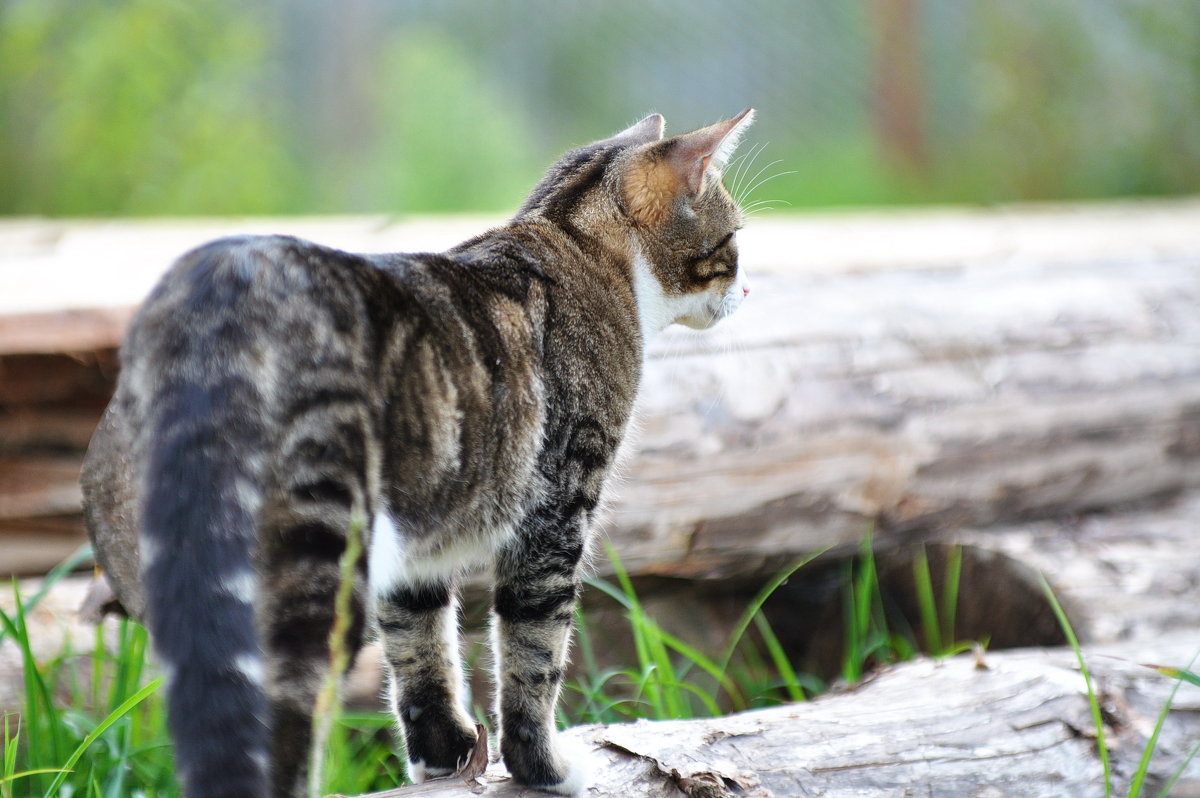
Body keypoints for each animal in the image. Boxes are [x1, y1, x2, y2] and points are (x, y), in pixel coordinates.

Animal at [82, 107, 758, 796]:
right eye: (734, 237)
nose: (748, 292)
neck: (572, 236)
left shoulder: (417, 540)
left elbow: (422, 645)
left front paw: (445, 758)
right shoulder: (555, 514)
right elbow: (534, 651)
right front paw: (542, 768)